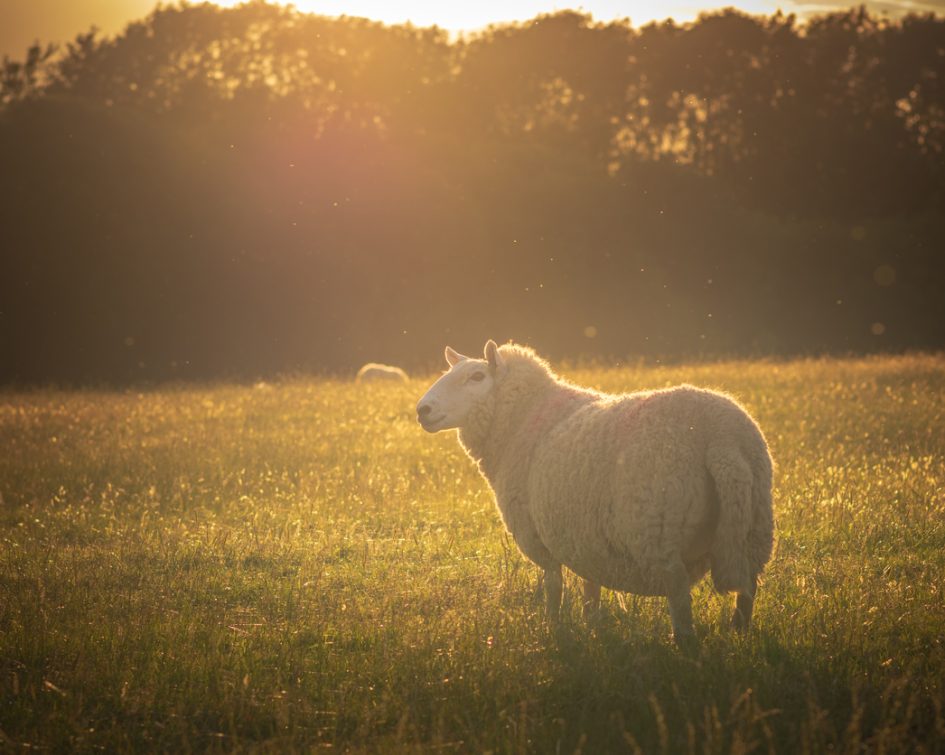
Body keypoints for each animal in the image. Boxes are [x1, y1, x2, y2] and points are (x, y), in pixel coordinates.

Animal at [416, 342, 772, 644]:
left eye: (476, 377)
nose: (423, 410)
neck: (521, 419)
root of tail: (721, 438)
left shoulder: (538, 537)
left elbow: (554, 586)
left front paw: (554, 628)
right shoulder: (586, 538)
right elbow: (591, 584)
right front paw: (593, 624)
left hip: (659, 536)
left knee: (681, 602)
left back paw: (685, 648)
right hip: (754, 530)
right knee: (747, 592)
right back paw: (739, 635)